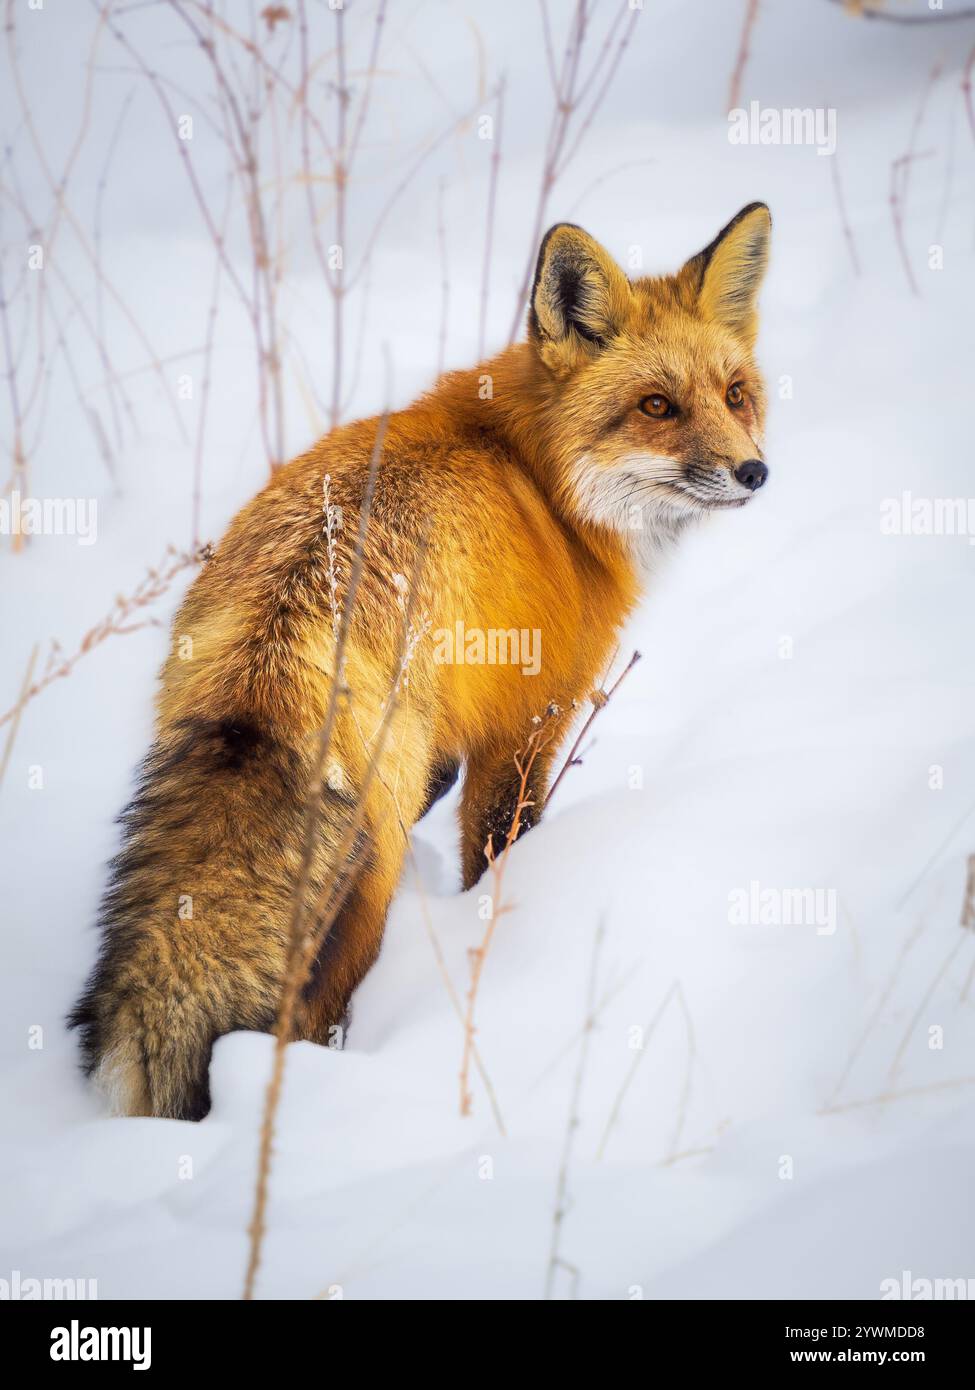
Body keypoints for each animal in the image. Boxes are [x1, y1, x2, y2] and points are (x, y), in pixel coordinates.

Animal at [70, 202, 772, 1121]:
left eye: (734, 394)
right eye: (656, 405)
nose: (753, 472)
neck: (541, 481)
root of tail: (279, 628)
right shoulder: (528, 723)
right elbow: (498, 852)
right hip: (367, 880)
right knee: (315, 1007)